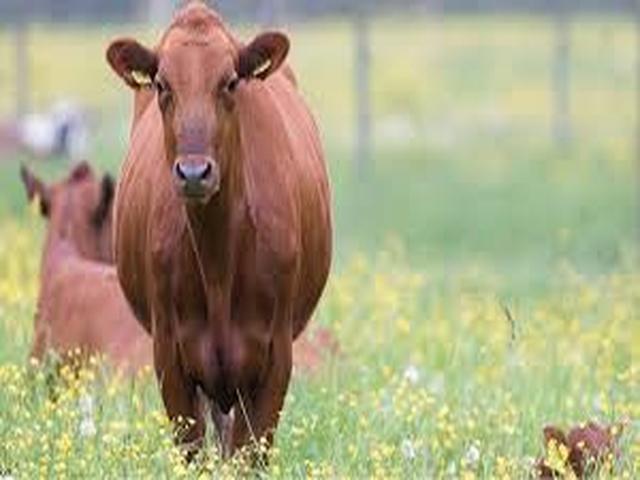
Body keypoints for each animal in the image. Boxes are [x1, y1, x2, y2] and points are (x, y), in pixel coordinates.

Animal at [105, 1, 332, 458]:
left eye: (230, 83)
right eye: (162, 84)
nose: (194, 173)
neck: (219, 260)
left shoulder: (274, 358)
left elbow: (249, 454)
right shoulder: (170, 357)